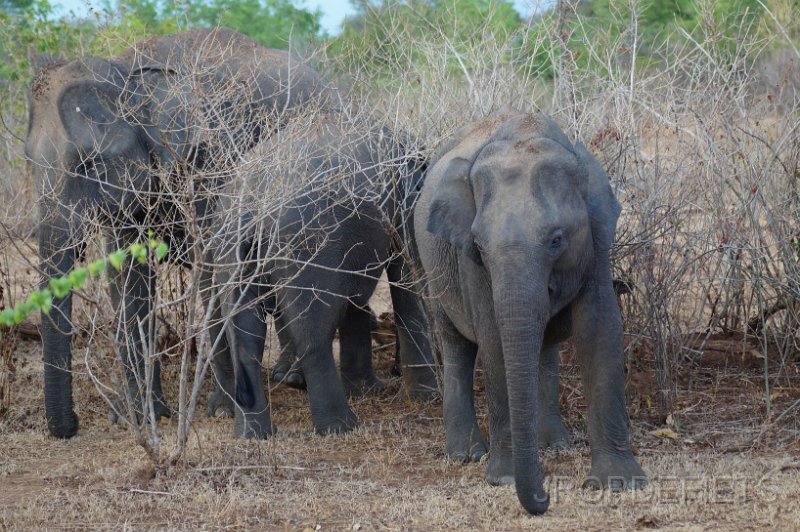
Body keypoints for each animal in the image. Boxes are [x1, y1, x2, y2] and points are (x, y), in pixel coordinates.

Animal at [25, 27, 338, 438]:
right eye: (29, 163)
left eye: (88, 164)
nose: (73, 426)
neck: (128, 73)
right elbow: (127, 280)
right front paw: (143, 416)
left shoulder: (211, 158)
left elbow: (212, 269)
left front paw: (221, 411)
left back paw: (292, 379)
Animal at [212, 110, 438, 438]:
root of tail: (254, 206)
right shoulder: (404, 203)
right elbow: (407, 277)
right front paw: (425, 397)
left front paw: (367, 391)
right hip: (307, 246)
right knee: (312, 329)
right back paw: (340, 427)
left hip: (230, 247)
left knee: (244, 333)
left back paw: (253, 434)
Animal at [412, 109, 644, 516]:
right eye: (478, 245)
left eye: (557, 239)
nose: (546, 497)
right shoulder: (470, 263)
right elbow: (494, 341)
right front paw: (503, 478)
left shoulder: (597, 240)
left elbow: (600, 328)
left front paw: (619, 483)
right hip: (433, 269)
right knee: (455, 342)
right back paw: (465, 455)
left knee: (545, 345)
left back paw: (553, 444)